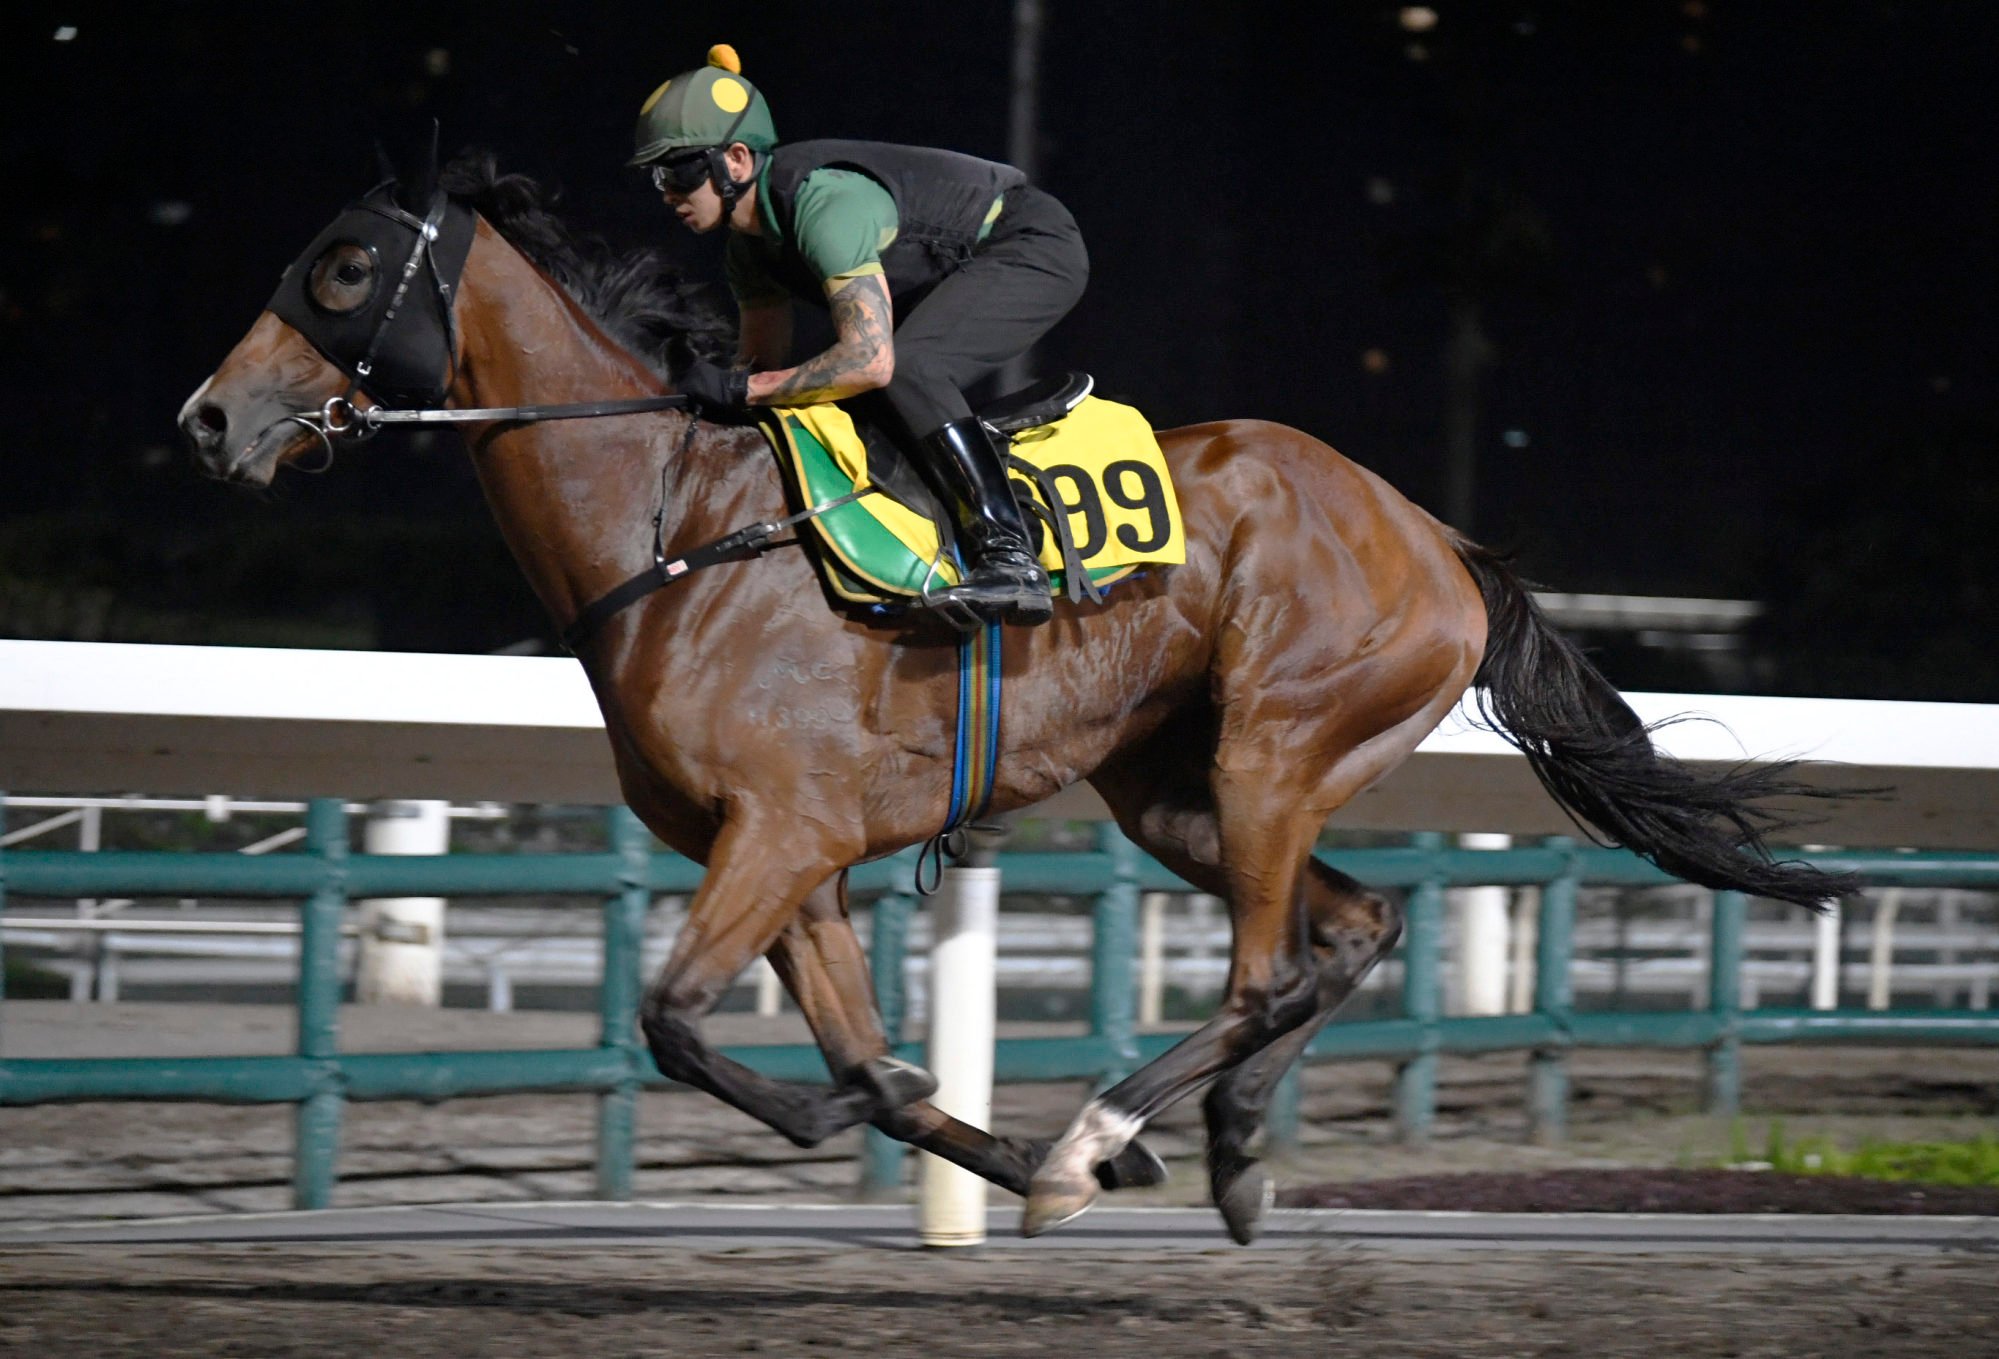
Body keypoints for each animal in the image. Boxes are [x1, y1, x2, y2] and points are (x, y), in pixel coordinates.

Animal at [179, 150, 1847, 1239]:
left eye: (341, 267)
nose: (207, 420)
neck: (669, 526)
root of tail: (1435, 535)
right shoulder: (788, 860)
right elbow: (869, 1067)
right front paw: (960, 1128)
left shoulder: (779, 832)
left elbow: (675, 1020)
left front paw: (986, 1143)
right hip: (1174, 786)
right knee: (1352, 930)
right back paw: (1217, 1146)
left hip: (1271, 746)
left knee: (1263, 972)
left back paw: (1110, 1129)